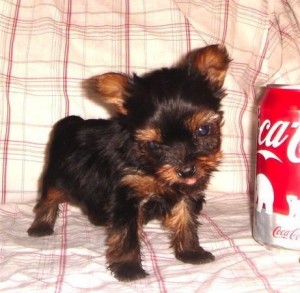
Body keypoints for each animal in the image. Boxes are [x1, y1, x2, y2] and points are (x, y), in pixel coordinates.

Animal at [27, 44, 230, 280]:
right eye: (153, 145)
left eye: (203, 130)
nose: (187, 170)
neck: (151, 168)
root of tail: (70, 123)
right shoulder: (126, 195)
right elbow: (126, 234)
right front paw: (128, 268)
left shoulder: (187, 192)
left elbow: (185, 219)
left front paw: (190, 252)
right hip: (57, 177)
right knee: (48, 199)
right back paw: (41, 226)